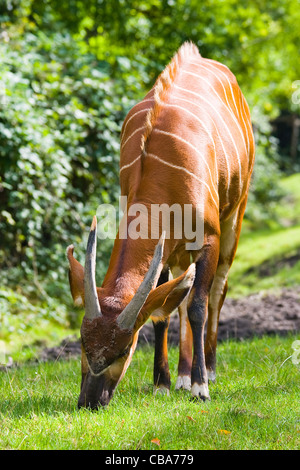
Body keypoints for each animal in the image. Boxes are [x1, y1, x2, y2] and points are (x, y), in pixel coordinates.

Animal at [67, 42, 254, 410]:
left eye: (124, 349)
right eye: (82, 343)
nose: (90, 401)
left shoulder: (208, 238)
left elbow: (197, 306)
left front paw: (200, 387)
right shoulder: (165, 250)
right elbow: (162, 313)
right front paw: (163, 384)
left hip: (234, 217)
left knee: (217, 291)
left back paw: (209, 370)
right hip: (180, 252)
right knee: (178, 300)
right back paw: (182, 375)